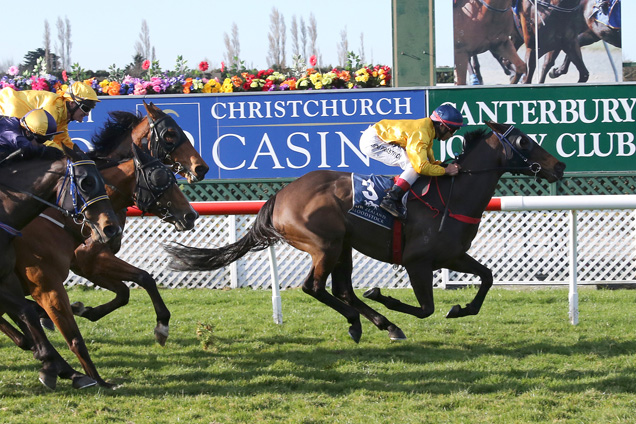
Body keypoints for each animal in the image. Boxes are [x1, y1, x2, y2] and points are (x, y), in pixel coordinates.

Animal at [0, 147, 121, 390]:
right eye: (86, 182)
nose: (112, 229)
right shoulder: (46, 285)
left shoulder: (7, 279)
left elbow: (27, 312)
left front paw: (61, 368)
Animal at [165, 121, 568, 342]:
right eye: (525, 142)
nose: (560, 166)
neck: (453, 195)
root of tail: (279, 196)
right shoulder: (417, 262)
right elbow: (425, 308)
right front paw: (385, 297)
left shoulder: (452, 255)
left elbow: (486, 277)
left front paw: (460, 309)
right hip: (324, 245)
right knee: (315, 287)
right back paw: (364, 321)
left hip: (343, 244)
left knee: (342, 289)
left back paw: (379, 324)